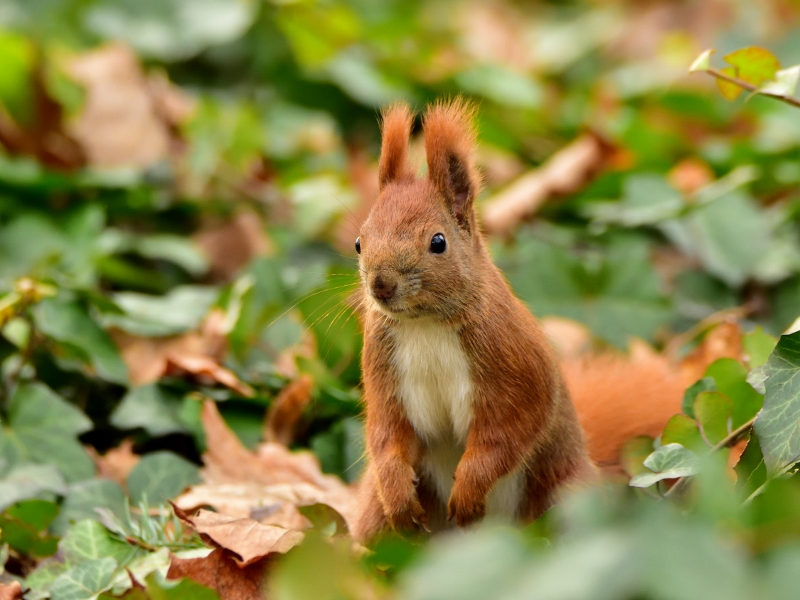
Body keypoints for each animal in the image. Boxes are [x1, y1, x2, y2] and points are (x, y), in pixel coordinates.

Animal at [354, 99, 596, 544]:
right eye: (359, 242)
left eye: (438, 242)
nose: (381, 285)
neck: (425, 325)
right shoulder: (383, 369)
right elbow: (387, 433)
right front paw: (398, 493)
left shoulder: (515, 366)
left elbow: (507, 433)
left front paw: (468, 492)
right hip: (374, 517)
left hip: (569, 501)